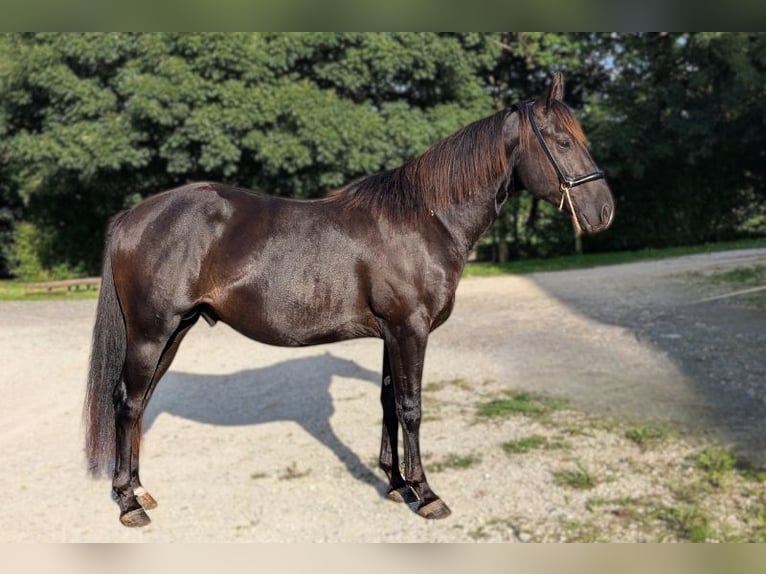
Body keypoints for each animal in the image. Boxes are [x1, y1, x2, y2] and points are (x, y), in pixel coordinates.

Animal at [84, 72, 614, 527]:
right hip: (151, 333)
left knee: (140, 403)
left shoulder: (392, 334)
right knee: (127, 403)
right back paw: (129, 503)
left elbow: (388, 402)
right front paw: (428, 494)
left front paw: (398, 484)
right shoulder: (409, 329)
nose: (604, 211)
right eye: (563, 142)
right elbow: (411, 408)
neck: (424, 218)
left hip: (174, 331)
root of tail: (133, 216)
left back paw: (139, 490)